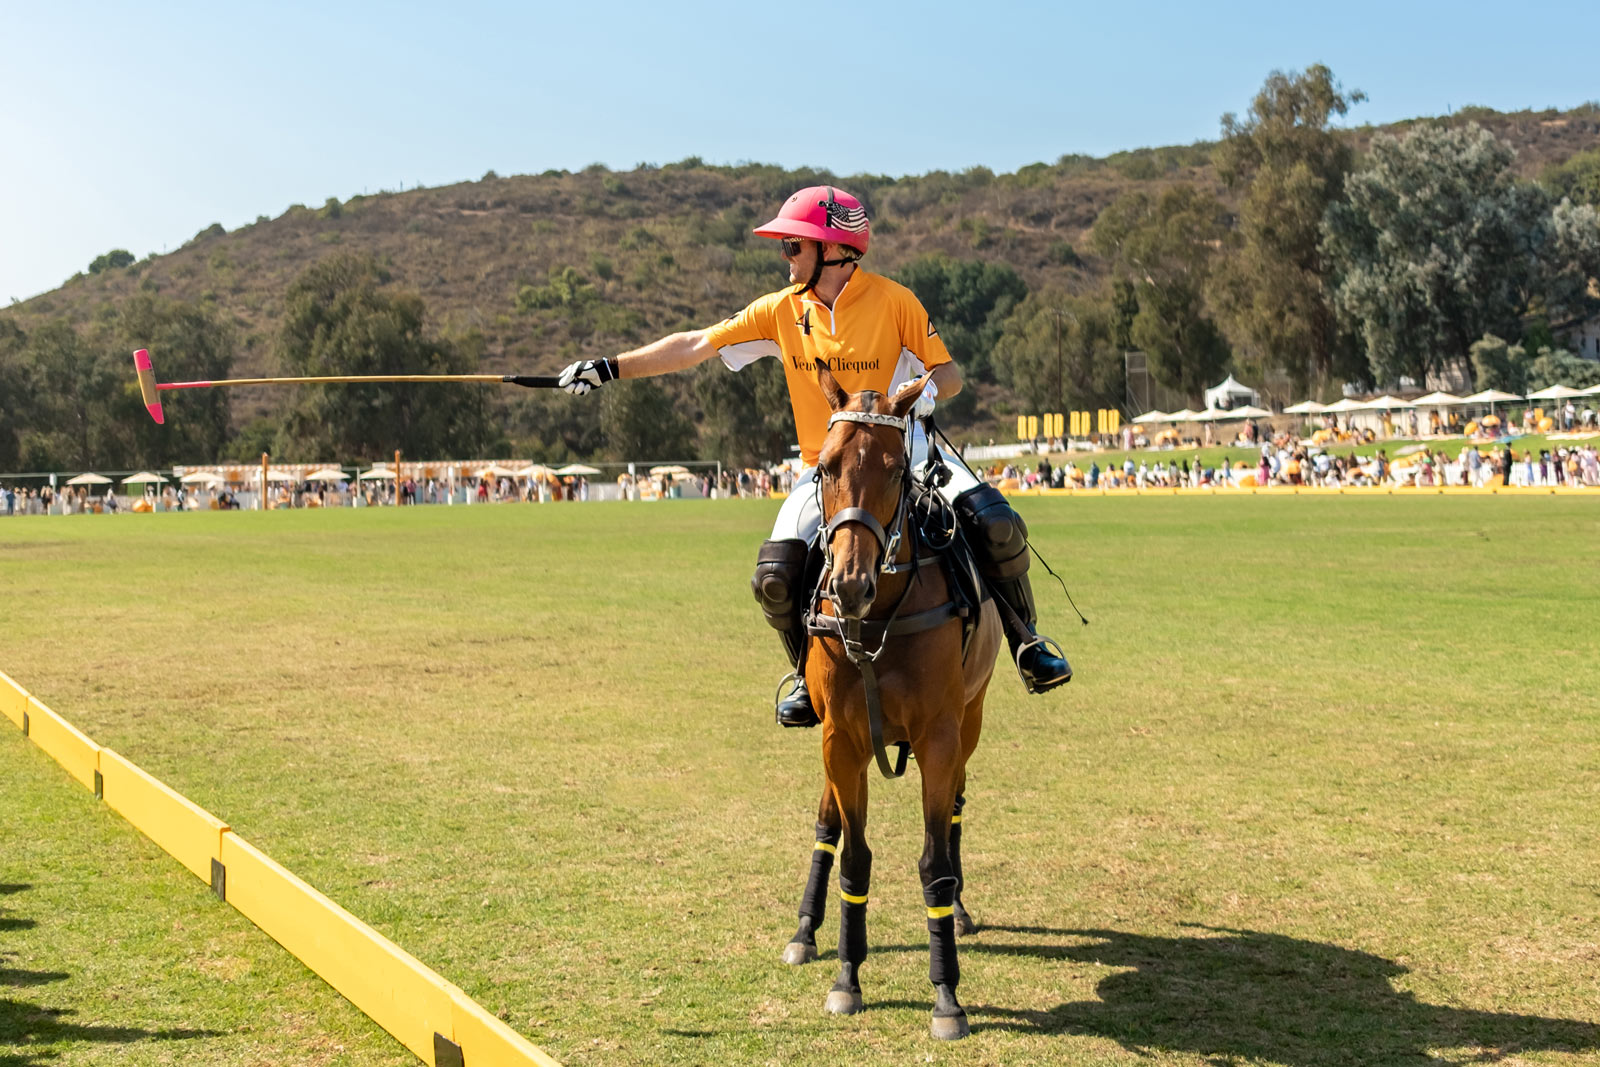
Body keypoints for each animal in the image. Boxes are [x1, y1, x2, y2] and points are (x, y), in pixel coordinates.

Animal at [777, 363, 998, 1036]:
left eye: (898, 469)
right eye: (824, 467)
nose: (851, 585)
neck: (876, 625)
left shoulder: (939, 735)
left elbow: (933, 861)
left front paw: (946, 995)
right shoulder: (841, 739)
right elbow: (854, 855)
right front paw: (846, 978)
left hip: (971, 717)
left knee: (954, 812)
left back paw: (959, 910)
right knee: (826, 821)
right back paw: (804, 931)